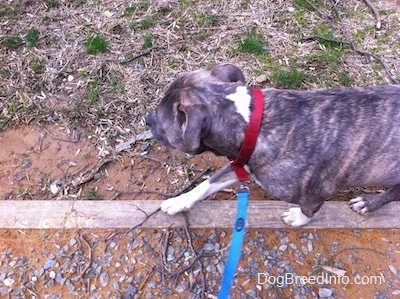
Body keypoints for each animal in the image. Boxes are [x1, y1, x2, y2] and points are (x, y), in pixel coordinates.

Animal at [146, 63, 400, 227]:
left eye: (161, 122)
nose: (147, 118)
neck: (253, 123)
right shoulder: (241, 164)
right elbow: (207, 184)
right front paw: (180, 202)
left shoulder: (316, 194)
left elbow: (308, 211)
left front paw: (298, 219)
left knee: (394, 193)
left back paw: (368, 203)